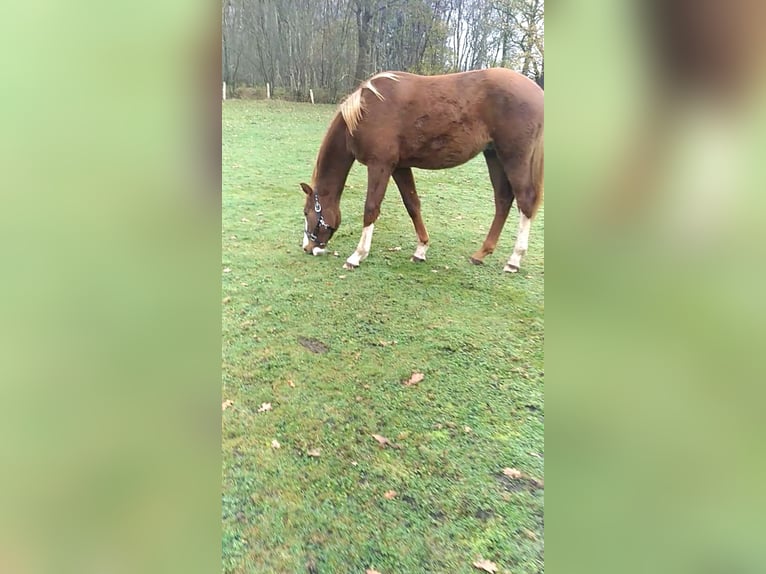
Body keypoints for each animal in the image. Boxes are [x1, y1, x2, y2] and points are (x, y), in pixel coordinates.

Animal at [300, 66, 544, 274]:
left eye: (306, 212)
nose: (308, 247)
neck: (365, 112)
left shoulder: (380, 165)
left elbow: (371, 208)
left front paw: (357, 256)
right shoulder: (399, 167)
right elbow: (412, 205)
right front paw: (421, 250)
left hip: (514, 157)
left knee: (524, 201)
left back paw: (514, 260)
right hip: (493, 155)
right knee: (503, 200)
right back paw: (481, 254)